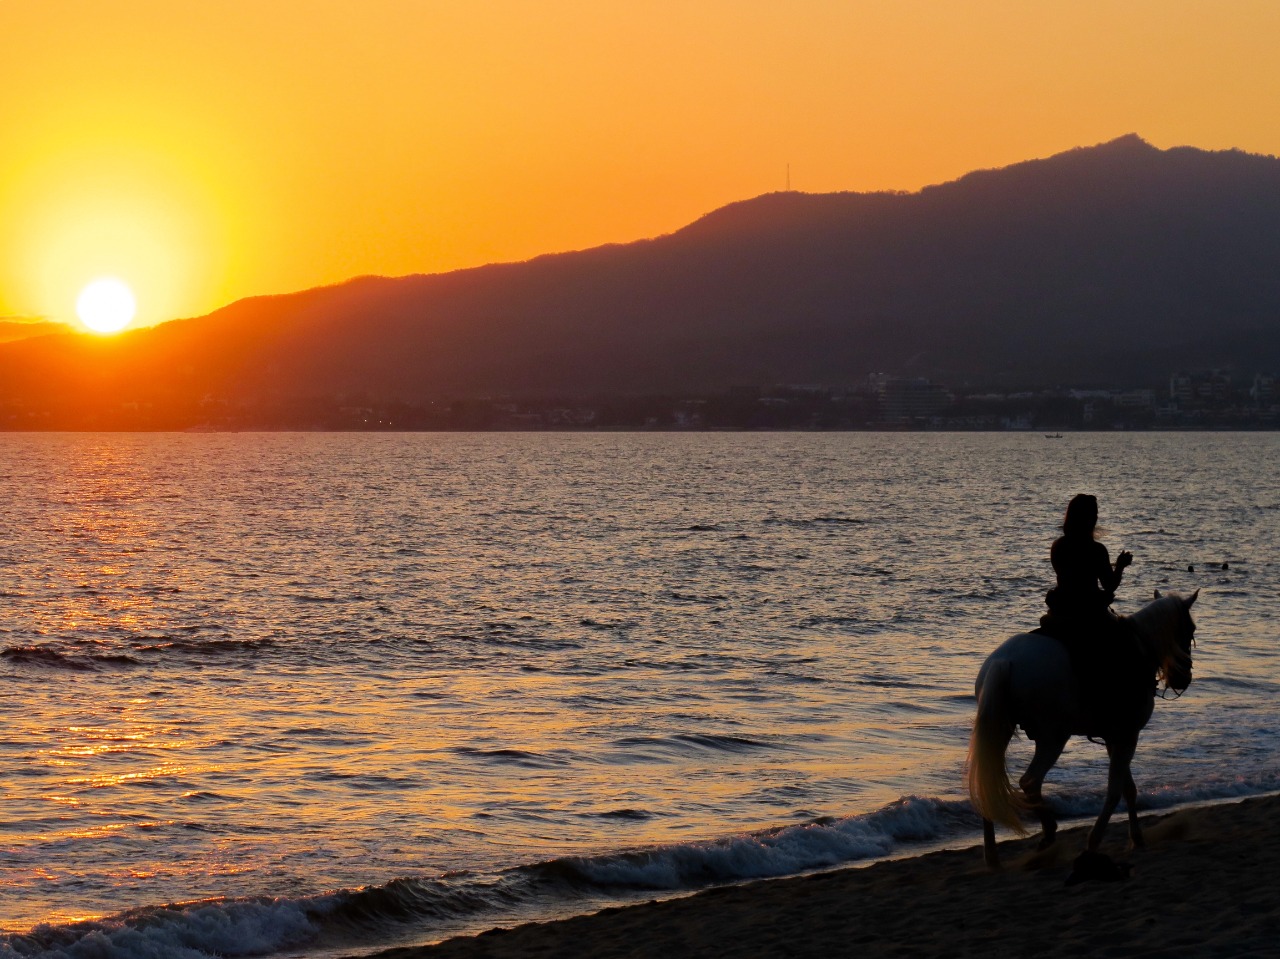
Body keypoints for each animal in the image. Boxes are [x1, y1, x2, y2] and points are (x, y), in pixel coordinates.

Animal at [967, 591, 1198, 865]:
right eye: (1190, 629)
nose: (1183, 679)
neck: (1138, 650)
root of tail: (1004, 660)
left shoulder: (1114, 738)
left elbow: (1128, 788)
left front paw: (1137, 838)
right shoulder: (1128, 736)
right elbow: (1115, 790)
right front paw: (1095, 841)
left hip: (1000, 731)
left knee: (990, 783)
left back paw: (992, 855)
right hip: (1053, 737)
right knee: (1030, 781)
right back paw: (1048, 831)